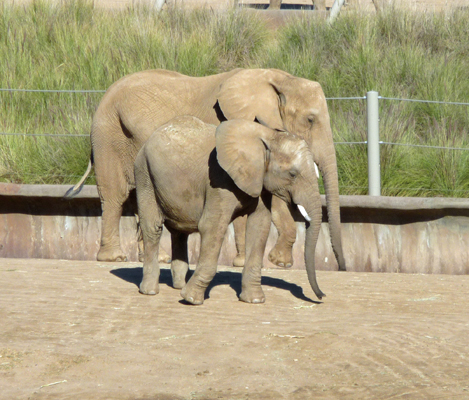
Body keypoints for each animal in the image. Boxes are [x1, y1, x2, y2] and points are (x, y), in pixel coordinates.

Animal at [65, 68, 344, 272]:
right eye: (310, 119)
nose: (342, 267)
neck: (278, 78)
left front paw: (269, 262)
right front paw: (270, 263)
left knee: (139, 197)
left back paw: (158, 258)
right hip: (109, 136)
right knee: (115, 195)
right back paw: (114, 258)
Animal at [135, 117, 324, 304]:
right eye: (292, 174)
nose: (322, 296)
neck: (268, 136)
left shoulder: (260, 182)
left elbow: (259, 227)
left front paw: (254, 300)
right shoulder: (219, 180)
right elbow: (212, 227)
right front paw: (191, 299)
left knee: (179, 233)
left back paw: (179, 286)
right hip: (145, 174)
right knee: (153, 227)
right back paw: (150, 291)